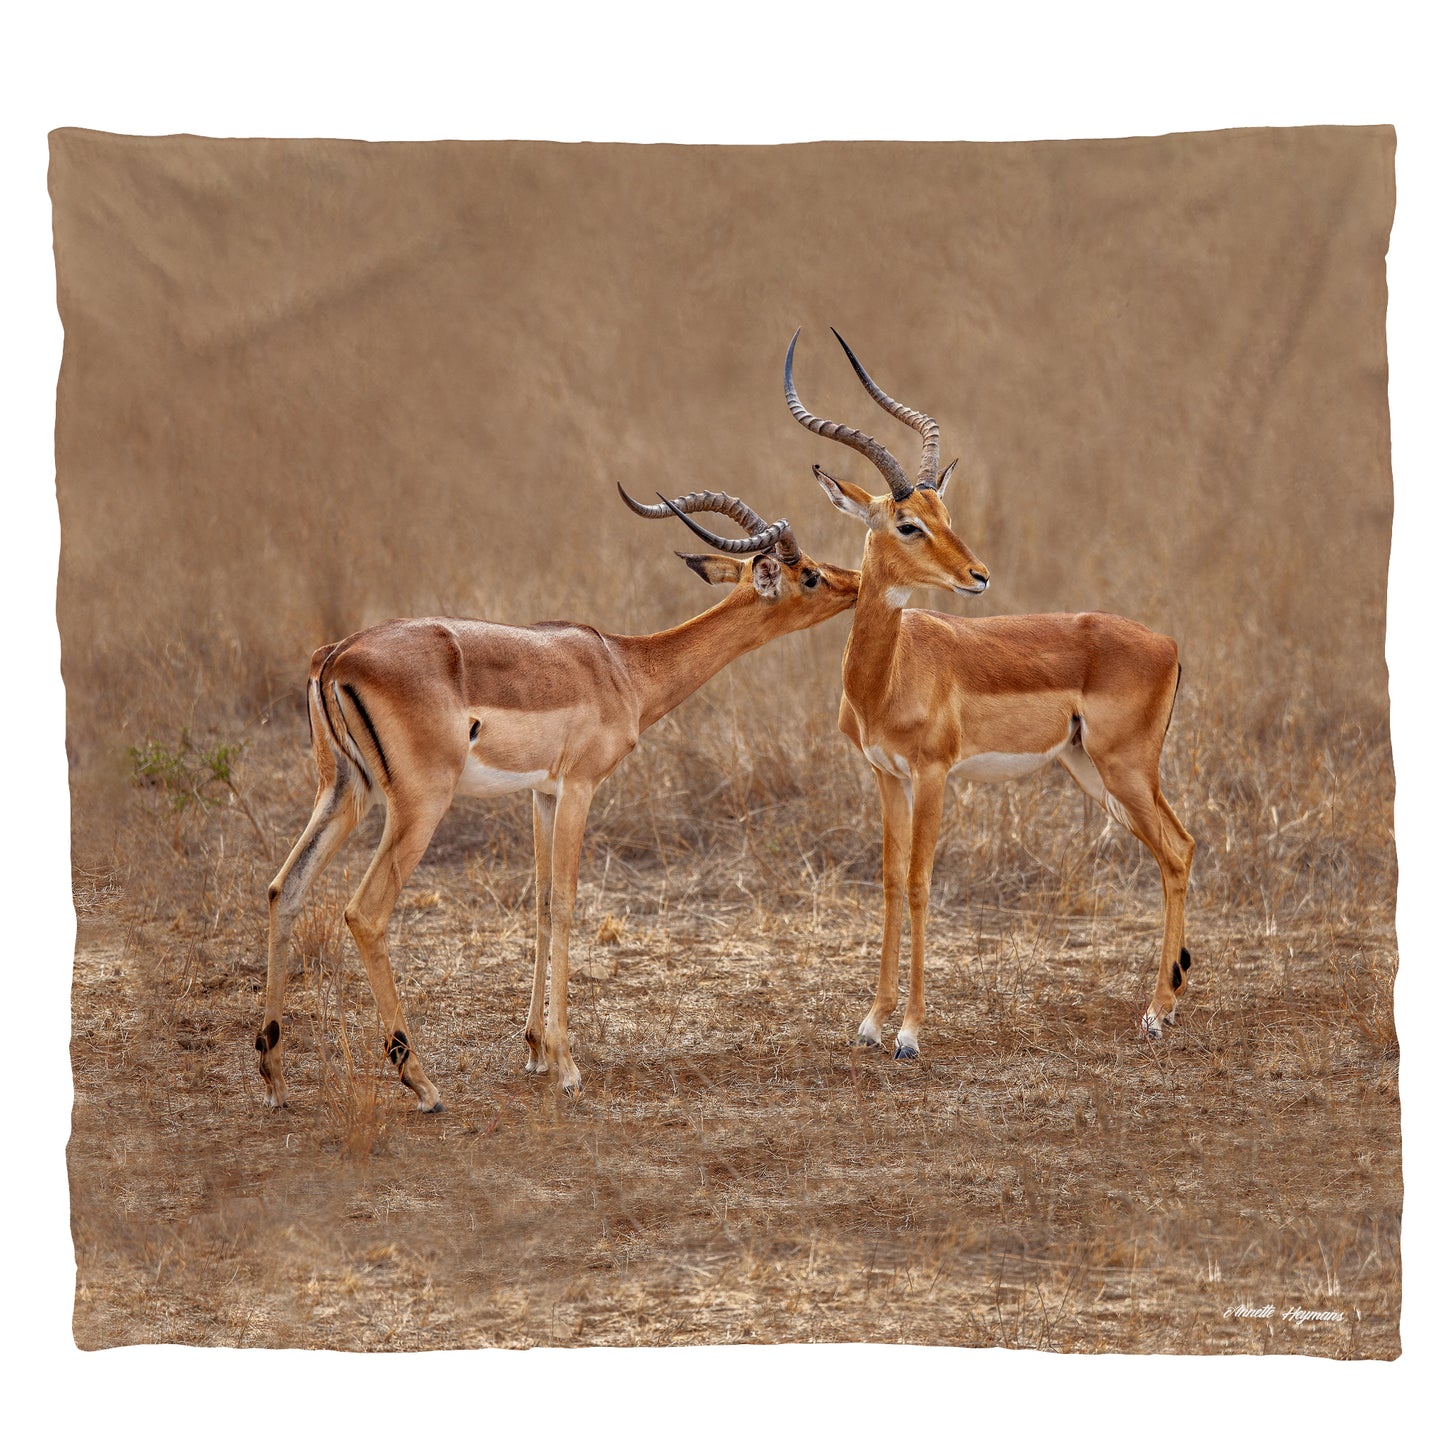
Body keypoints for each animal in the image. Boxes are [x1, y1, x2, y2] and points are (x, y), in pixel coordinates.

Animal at [256, 488, 858, 1107]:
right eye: (809, 574)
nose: (858, 582)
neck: (623, 668)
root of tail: (337, 655)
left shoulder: (542, 794)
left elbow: (543, 904)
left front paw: (535, 1050)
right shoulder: (579, 788)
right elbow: (568, 904)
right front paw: (567, 1065)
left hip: (342, 793)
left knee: (285, 888)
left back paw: (274, 1073)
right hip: (418, 806)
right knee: (365, 912)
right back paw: (421, 1081)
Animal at [785, 327, 1194, 1056]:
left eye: (942, 510)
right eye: (908, 522)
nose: (977, 575)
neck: (888, 675)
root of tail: (1167, 643)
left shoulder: (933, 773)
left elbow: (921, 883)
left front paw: (909, 1032)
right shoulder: (885, 775)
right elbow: (889, 882)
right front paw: (870, 1021)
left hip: (1124, 770)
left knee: (1176, 854)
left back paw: (1153, 1013)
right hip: (1094, 770)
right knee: (1182, 845)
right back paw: (1166, 1005)